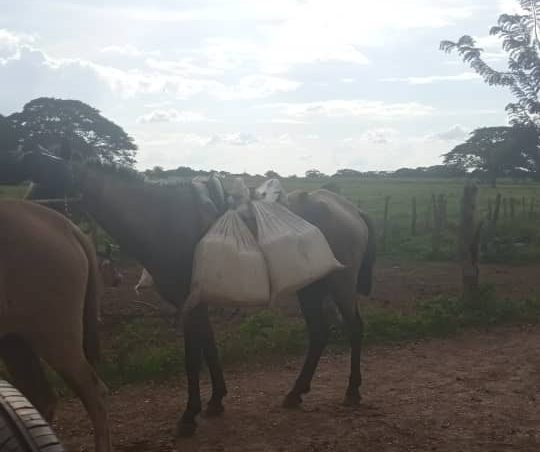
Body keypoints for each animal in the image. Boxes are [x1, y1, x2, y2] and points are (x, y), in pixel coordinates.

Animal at [16, 152, 376, 438]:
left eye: (51, 179)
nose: (26, 216)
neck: (164, 220)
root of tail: (350, 209)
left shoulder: (188, 304)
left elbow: (192, 357)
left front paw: (190, 416)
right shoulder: (194, 303)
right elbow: (209, 348)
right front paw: (216, 401)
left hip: (340, 285)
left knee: (354, 328)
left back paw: (352, 390)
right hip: (311, 288)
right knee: (319, 333)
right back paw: (295, 393)